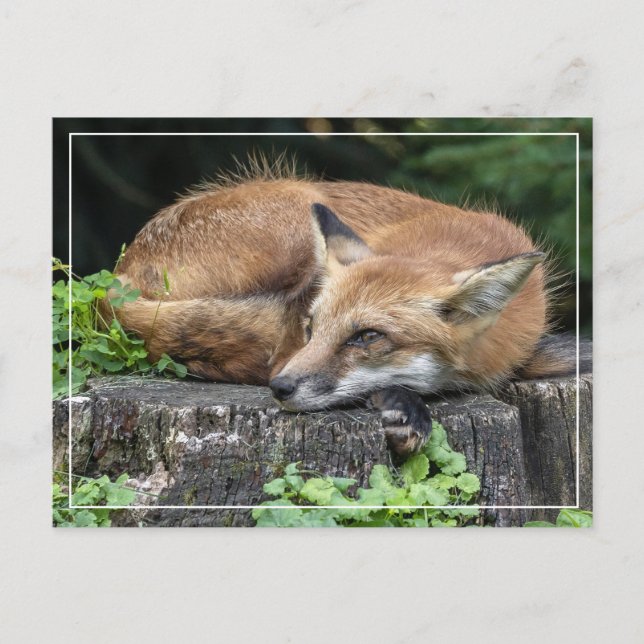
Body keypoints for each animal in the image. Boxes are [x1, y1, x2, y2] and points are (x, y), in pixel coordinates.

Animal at [106, 162, 588, 455]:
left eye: (367, 337)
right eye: (312, 329)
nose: (280, 388)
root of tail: (116, 277)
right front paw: (407, 408)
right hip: (297, 213)